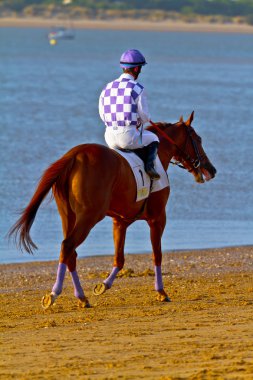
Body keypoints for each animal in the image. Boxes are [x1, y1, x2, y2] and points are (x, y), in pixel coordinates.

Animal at [9, 112, 215, 308]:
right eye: (198, 139)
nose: (211, 170)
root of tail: (75, 155)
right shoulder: (158, 218)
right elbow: (157, 255)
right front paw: (161, 292)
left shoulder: (120, 221)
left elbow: (119, 258)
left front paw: (104, 285)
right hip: (89, 216)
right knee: (68, 246)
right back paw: (54, 294)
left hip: (68, 215)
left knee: (70, 252)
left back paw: (81, 297)